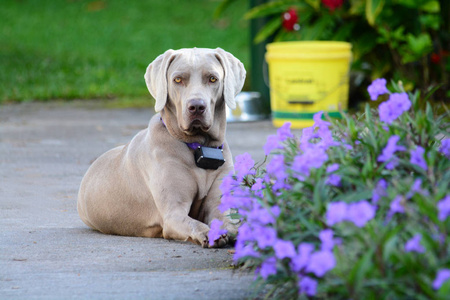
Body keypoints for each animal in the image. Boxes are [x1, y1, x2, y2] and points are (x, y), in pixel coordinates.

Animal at [77, 48, 246, 247]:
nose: (196, 107)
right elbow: (194, 223)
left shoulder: (218, 204)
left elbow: (227, 220)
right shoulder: (173, 214)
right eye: (178, 80)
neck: (200, 146)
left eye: (212, 78)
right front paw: (209, 233)